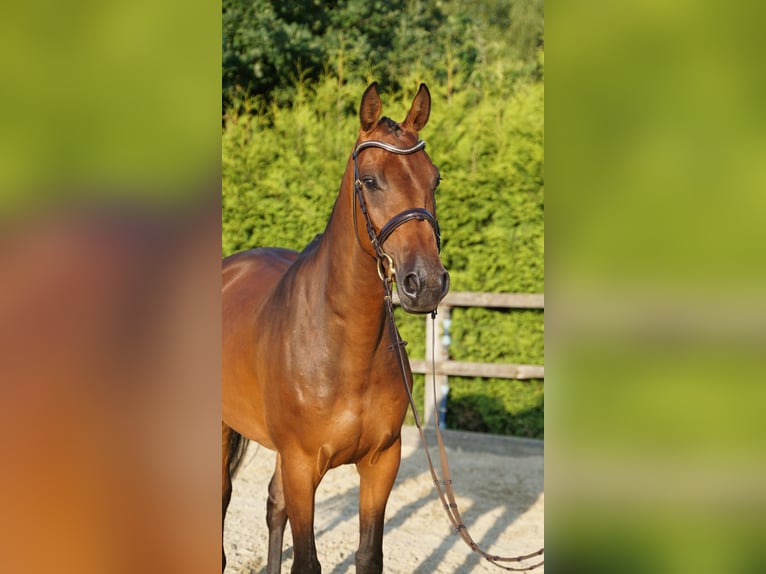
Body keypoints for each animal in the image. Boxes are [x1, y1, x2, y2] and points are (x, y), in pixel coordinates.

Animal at [222, 82, 449, 573]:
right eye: (371, 180)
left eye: (434, 178)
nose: (425, 283)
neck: (346, 346)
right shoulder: (302, 463)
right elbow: (307, 561)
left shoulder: (382, 462)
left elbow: (368, 554)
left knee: (274, 505)